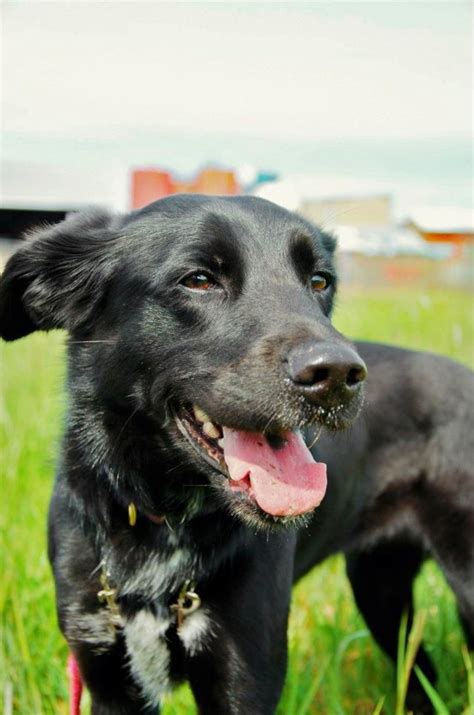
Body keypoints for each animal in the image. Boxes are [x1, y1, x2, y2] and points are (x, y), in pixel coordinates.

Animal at [0, 196, 472, 715]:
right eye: (198, 279)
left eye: (319, 281)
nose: (337, 375)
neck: (162, 521)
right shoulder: (110, 677)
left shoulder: (245, 674)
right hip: (379, 588)